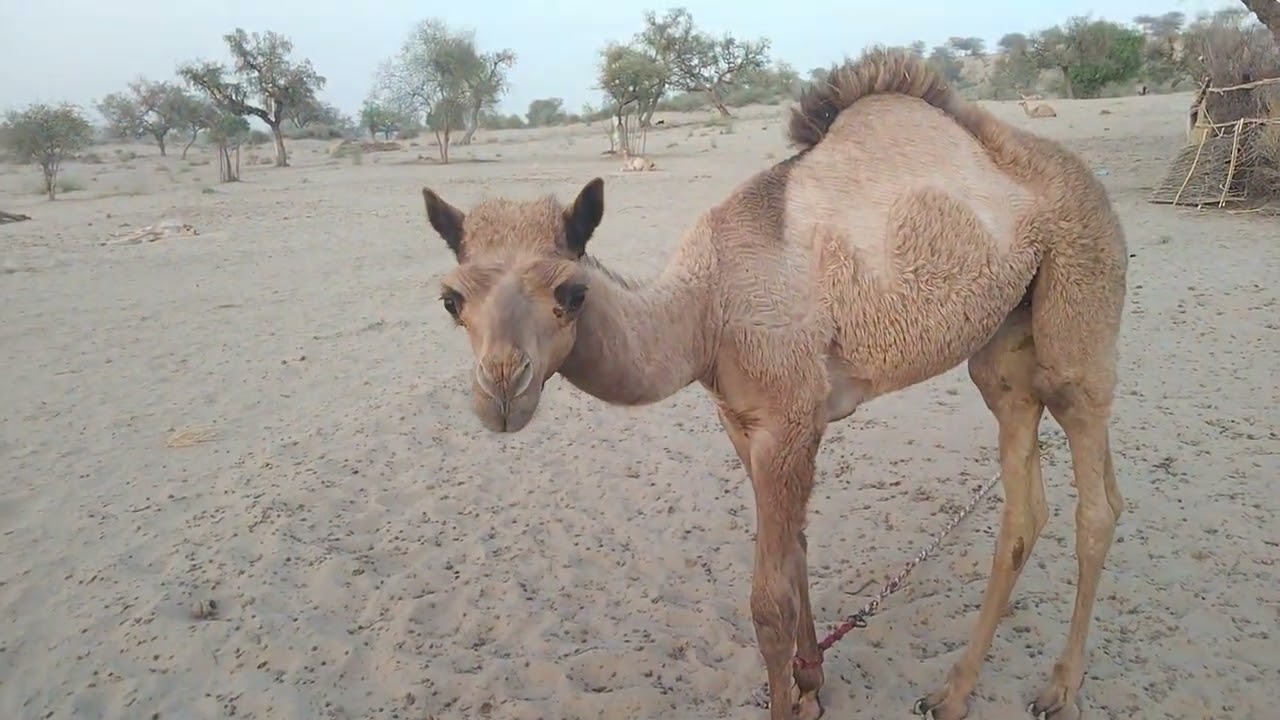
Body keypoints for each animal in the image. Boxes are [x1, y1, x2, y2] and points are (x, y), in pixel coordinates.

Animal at [420, 46, 1126, 720]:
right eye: (451, 301)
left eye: (571, 294)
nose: (502, 391)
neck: (705, 310)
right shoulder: (743, 421)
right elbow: (798, 554)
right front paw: (811, 685)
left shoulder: (789, 419)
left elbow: (769, 603)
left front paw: (793, 695)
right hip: (1005, 344)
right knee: (1023, 501)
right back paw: (951, 694)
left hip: (1082, 288)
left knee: (1096, 495)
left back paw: (1058, 690)